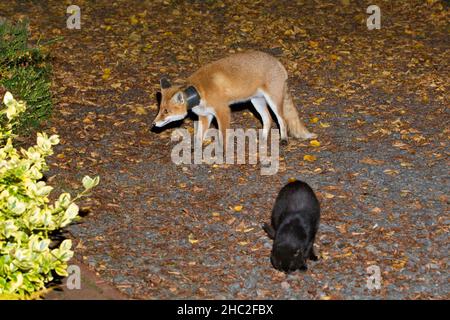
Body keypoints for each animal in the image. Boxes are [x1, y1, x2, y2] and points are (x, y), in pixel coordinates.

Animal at [153, 50, 318, 146]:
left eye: (166, 111)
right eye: (160, 110)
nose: (154, 124)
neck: (198, 91)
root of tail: (278, 62)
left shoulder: (223, 111)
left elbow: (223, 136)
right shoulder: (206, 116)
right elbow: (199, 137)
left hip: (273, 101)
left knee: (281, 119)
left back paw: (284, 139)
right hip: (256, 102)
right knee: (268, 119)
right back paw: (263, 139)